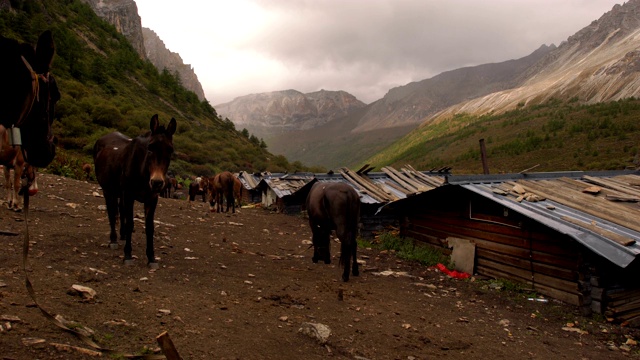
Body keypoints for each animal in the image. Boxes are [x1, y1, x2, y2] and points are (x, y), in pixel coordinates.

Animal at [90, 115, 175, 268]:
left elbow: (149, 227)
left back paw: (122, 235)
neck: (143, 171)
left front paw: (151, 258)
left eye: (170, 150)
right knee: (112, 212)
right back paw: (113, 240)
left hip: (120, 193)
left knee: (120, 210)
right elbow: (130, 223)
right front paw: (128, 255)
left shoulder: (151, 199)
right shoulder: (129, 195)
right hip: (108, 190)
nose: (157, 182)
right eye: (150, 148)